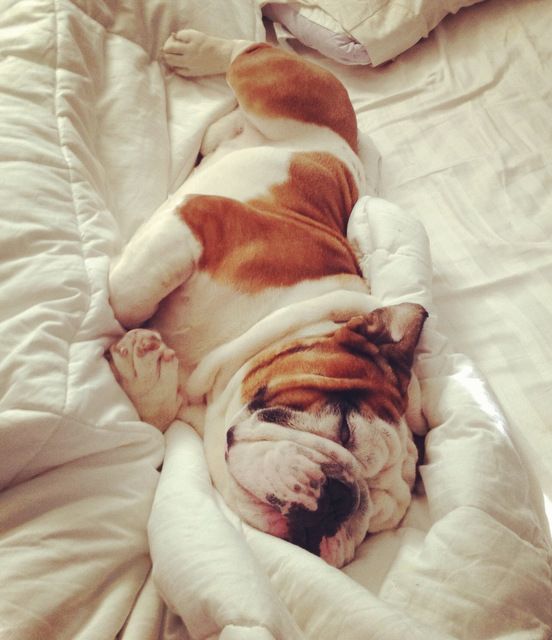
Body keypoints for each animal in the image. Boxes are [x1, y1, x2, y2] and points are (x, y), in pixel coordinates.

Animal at [108, 30, 426, 568]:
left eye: (374, 527)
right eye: (344, 428)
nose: (344, 499)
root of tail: (345, 146)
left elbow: (154, 416)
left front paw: (145, 371)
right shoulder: (200, 221)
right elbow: (125, 297)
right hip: (279, 90)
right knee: (250, 48)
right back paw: (199, 50)